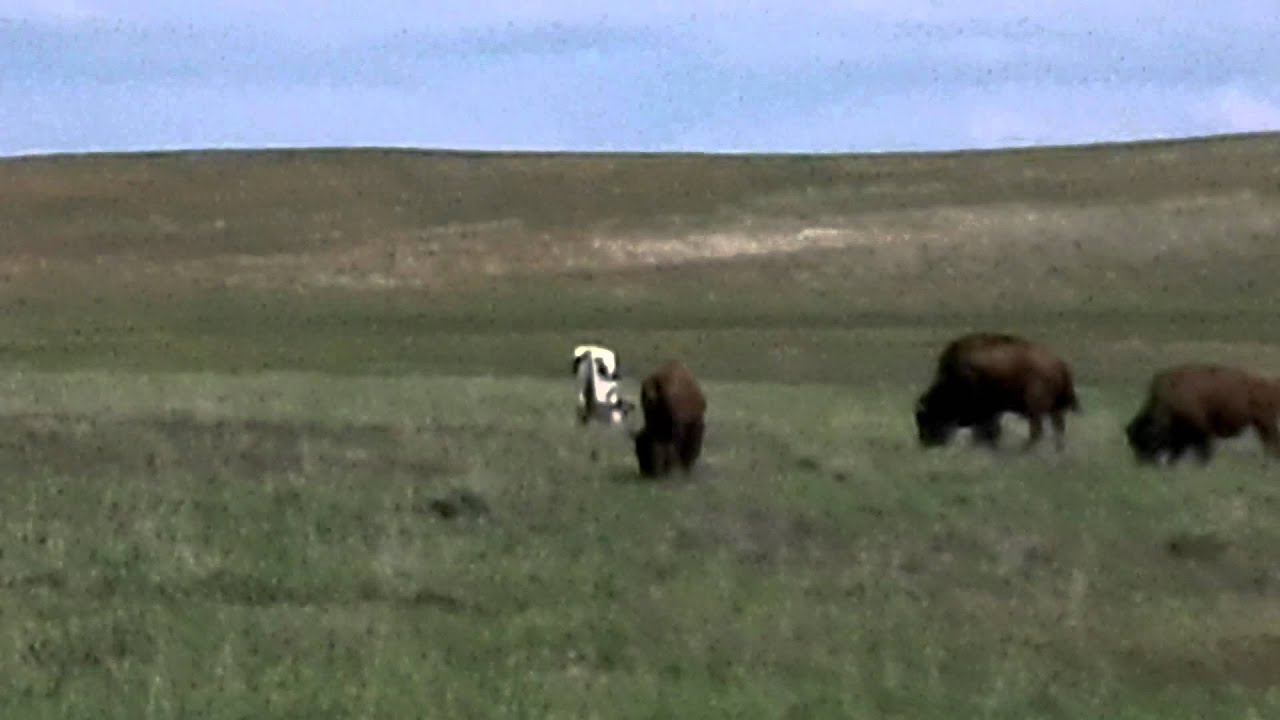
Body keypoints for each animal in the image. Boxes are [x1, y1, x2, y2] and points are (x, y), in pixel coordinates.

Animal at [914, 332, 1080, 451]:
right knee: (1057, 428)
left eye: (925, 418)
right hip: (1054, 409)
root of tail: (1060, 365)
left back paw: (1024, 451)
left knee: (1037, 431)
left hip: (1036, 409)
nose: (925, 443)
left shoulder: (986, 411)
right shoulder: (993, 411)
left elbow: (987, 431)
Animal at [1125, 364, 1280, 465]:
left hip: (1265, 423)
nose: (1141, 462)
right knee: (1268, 442)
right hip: (1260, 424)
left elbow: (1201, 449)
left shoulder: (1198, 431)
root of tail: (1270, 385)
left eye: (1145, 438)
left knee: (1271, 442)